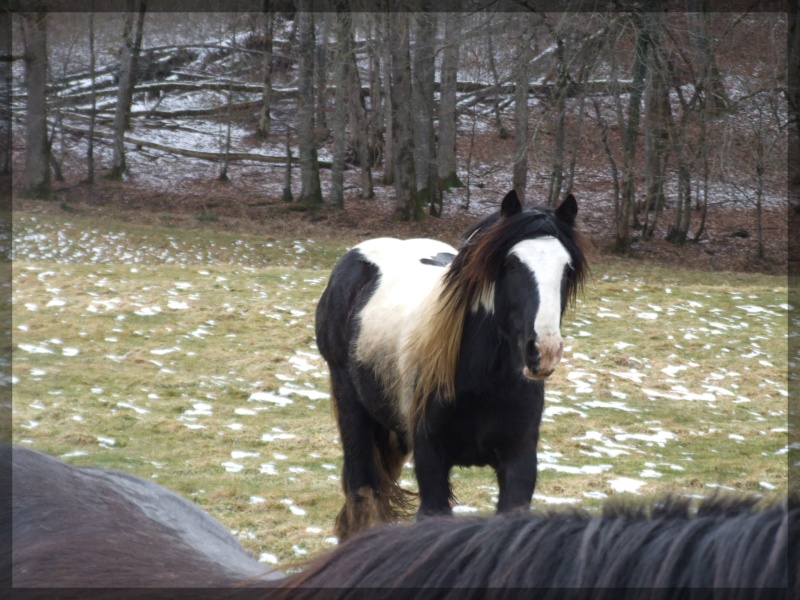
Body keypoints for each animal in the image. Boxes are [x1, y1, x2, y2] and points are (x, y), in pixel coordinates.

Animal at [318, 189, 588, 540]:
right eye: (510, 264)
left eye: (567, 269)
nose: (544, 351)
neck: (482, 381)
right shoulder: (431, 459)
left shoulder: (520, 459)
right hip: (351, 408)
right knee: (362, 490)